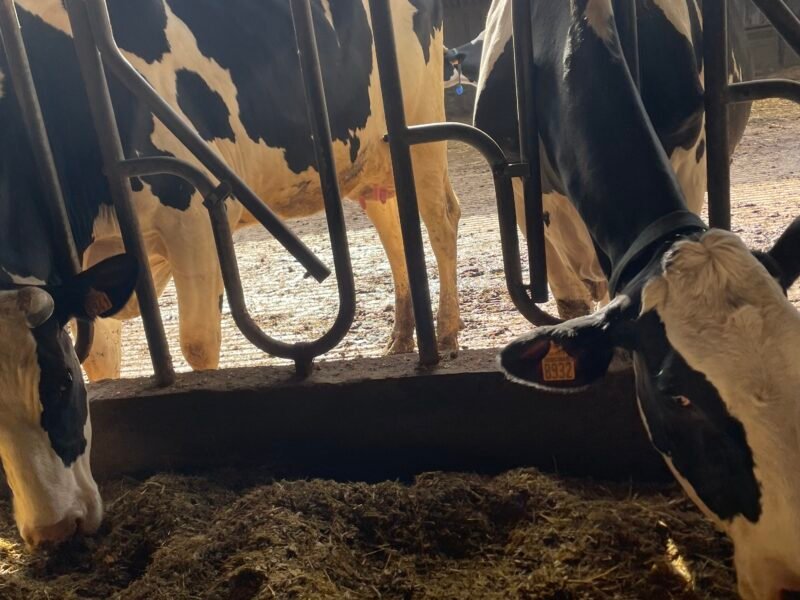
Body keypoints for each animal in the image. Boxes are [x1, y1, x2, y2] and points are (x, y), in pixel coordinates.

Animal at [2, 0, 460, 382]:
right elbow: (98, 359)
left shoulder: (190, 213)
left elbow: (197, 342)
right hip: (369, 158)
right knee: (393, 226)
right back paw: (401, 338)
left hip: (421, 122)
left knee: (441, 218)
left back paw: (447, 334)